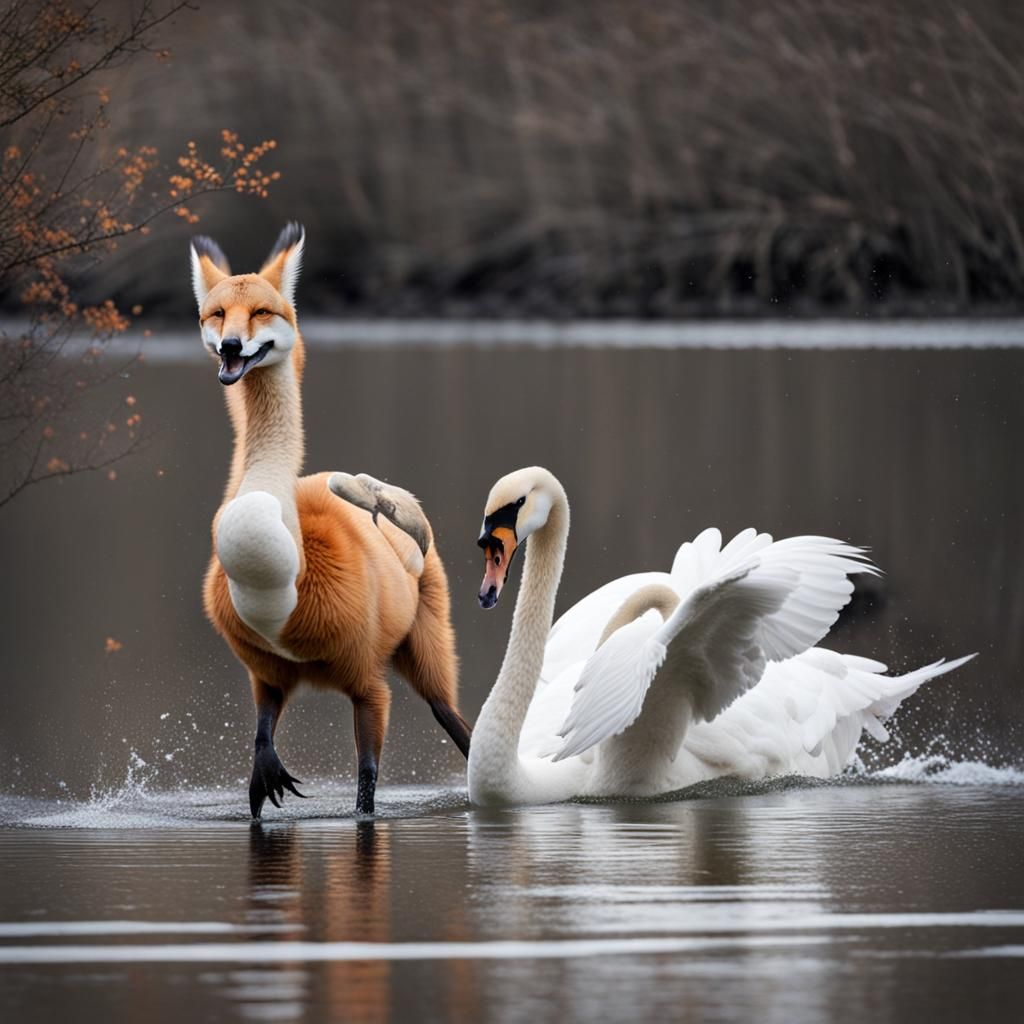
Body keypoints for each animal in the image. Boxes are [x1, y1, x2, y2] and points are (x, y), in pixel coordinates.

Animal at [190, 222, 471, 817]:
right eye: (216, 313)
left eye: (261, 311)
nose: (231, 349)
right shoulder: (265, 676)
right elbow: (261, 751)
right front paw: (272, 783)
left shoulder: (367, 683)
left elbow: (366, 786)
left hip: (427, 642)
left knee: (454, 719)